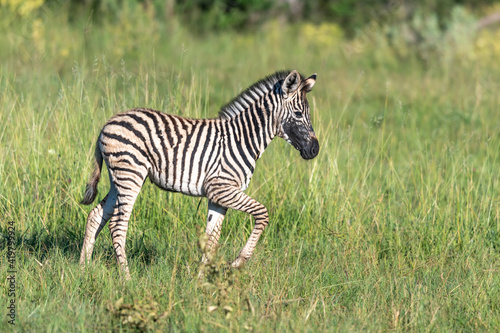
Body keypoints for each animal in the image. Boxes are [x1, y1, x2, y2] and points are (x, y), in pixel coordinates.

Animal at [79, 70, 318, 278]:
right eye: (298, 114)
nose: (315, 150)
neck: (243, 139)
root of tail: (107, 123)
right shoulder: (222, 188)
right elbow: (263, 213)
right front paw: (238, 262)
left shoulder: (218, 197)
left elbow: (212, 238)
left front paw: (200, 280)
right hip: (130, 174)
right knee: (118, 225)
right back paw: (126, 278)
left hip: (118, 178)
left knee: (96, 216)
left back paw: (84, 268)